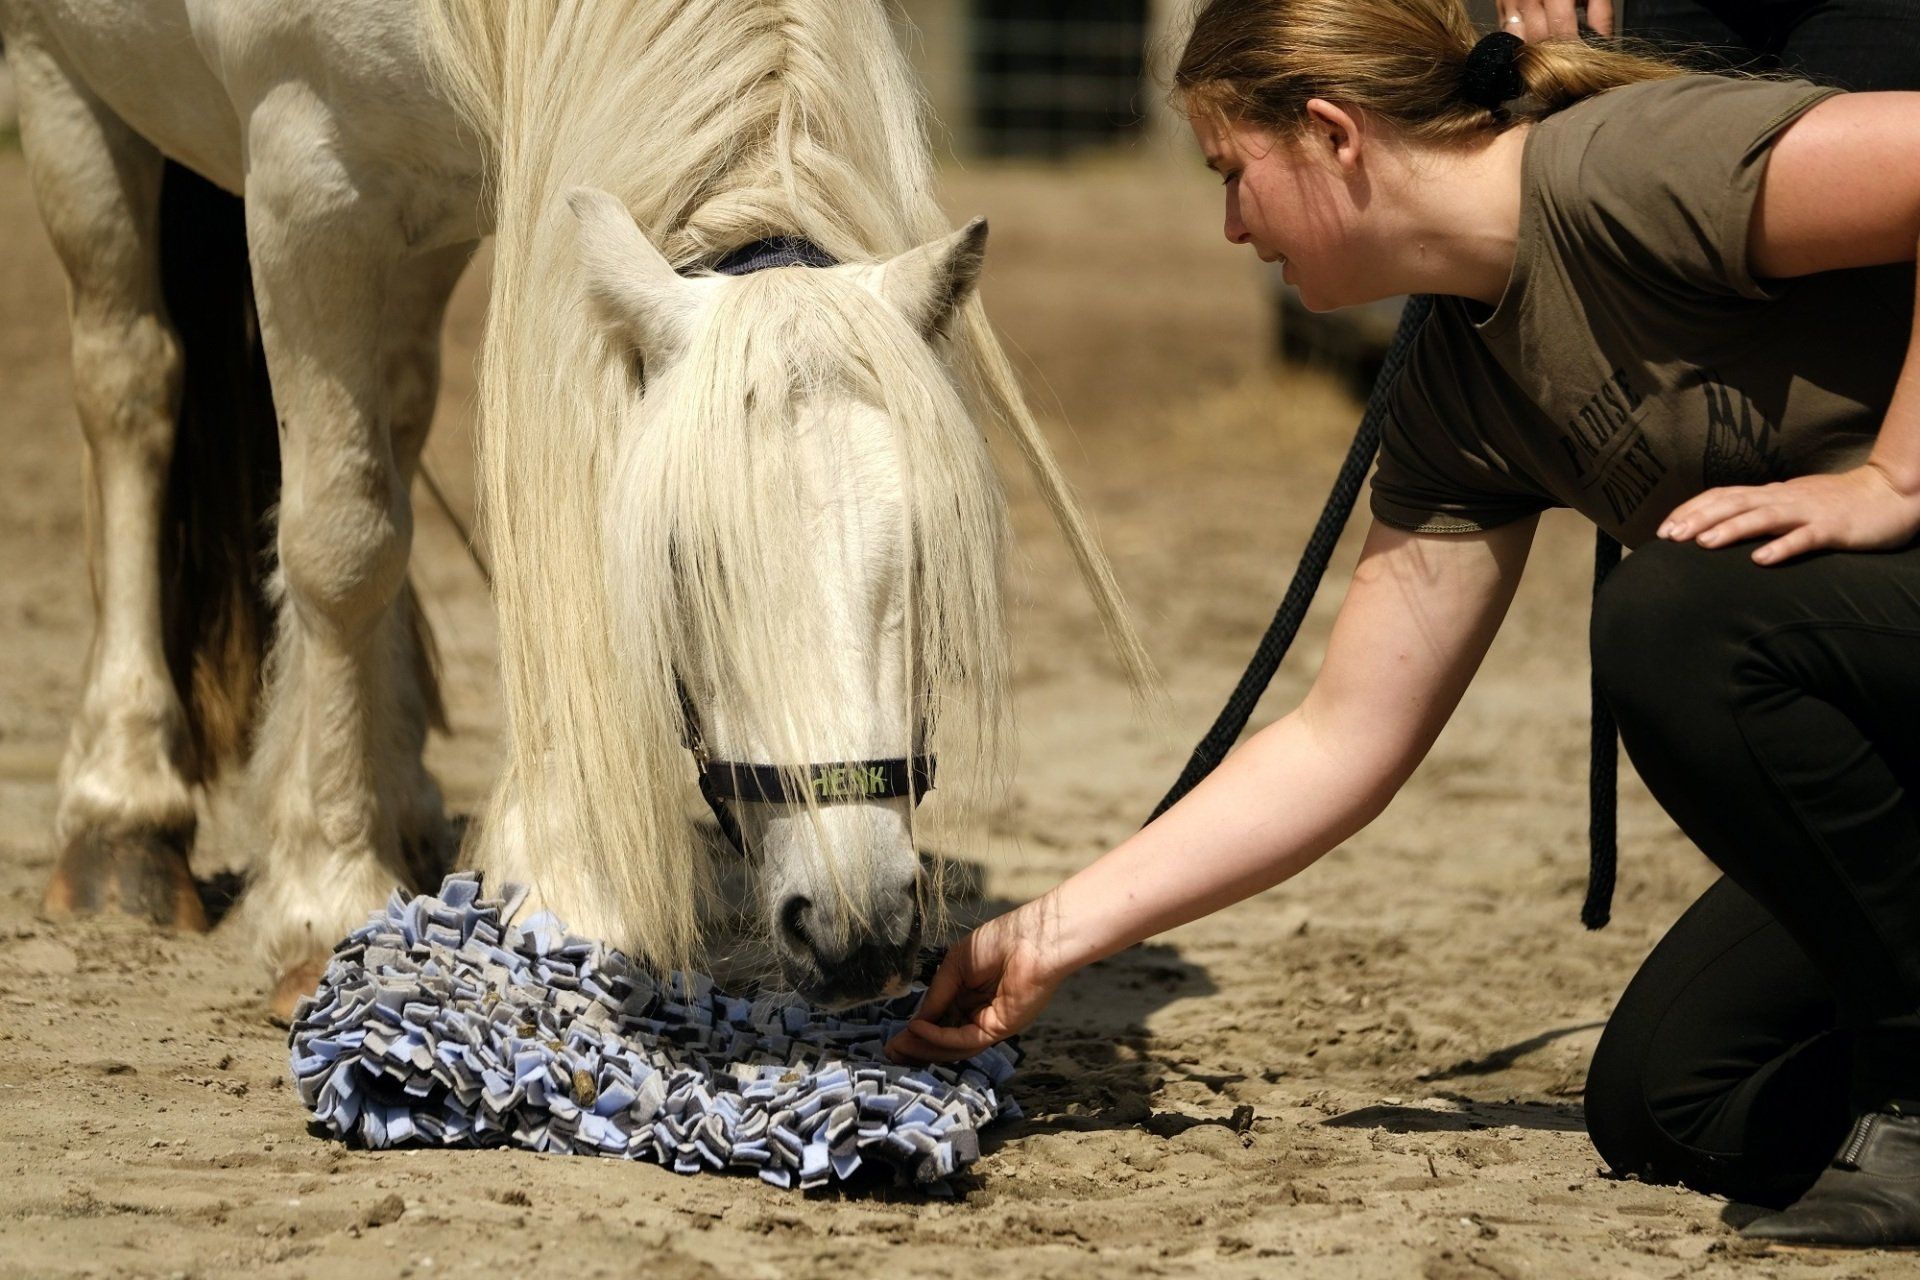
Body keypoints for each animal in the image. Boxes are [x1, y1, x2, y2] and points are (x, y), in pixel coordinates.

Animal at [3, 0, 1152, 1013]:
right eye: (687, 564)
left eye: (924, 553)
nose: (855, 925)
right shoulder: (308, 179)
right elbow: (342, 542)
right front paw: (325, 900)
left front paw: (541, 873)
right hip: (66, 91)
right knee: (132, 387)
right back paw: (121, 817)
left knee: (395, 419)